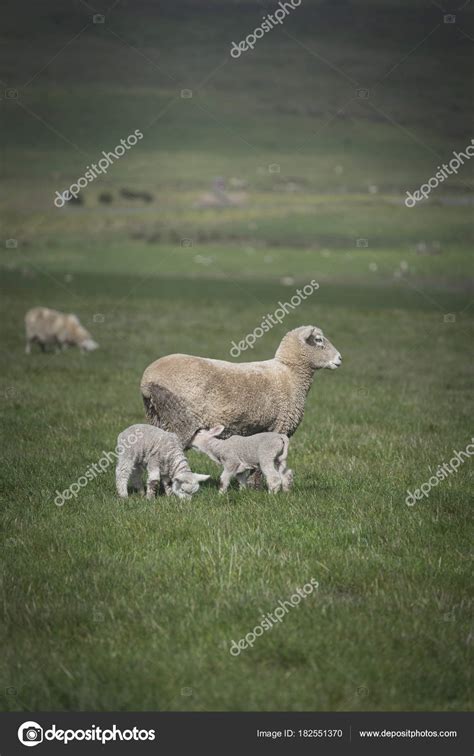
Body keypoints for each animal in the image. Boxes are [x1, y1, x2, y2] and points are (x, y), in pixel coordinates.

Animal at [140, 322, 340, 446]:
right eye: (319, 340)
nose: (340, 358)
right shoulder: (279, 426)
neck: (290, 372)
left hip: (156, 417)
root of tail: (146, 381)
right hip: (181, 421)